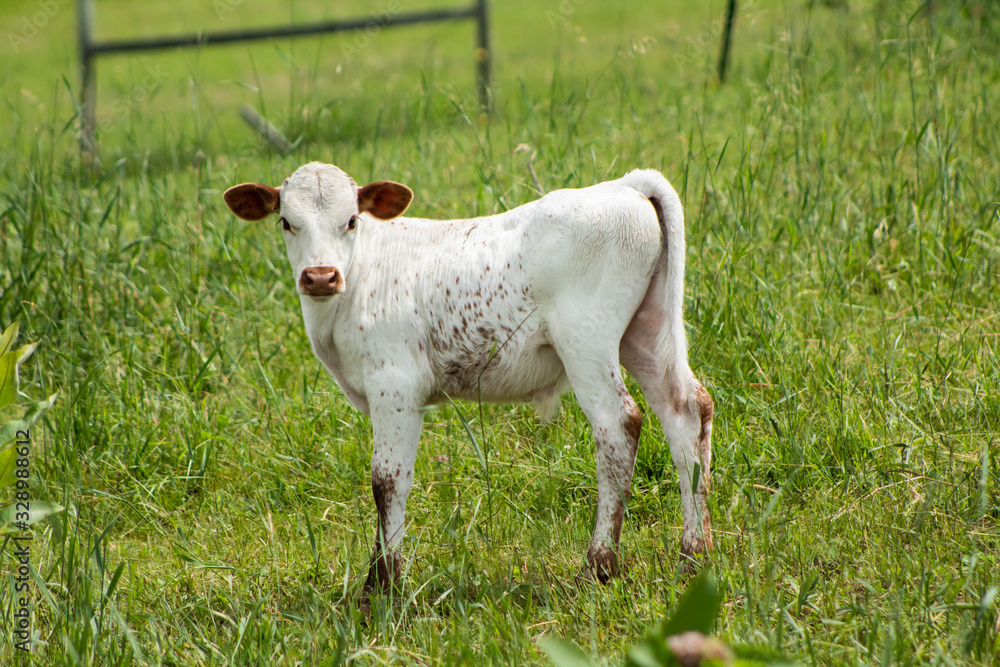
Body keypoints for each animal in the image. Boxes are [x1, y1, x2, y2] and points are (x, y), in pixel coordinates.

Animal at [225, 163, 712, 596]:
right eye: (286, 222)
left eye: (351, 220)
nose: (321, 277)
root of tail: (623, 185)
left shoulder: (394, 385)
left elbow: (388, 480)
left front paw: (381, 587)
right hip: (645, 331)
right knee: (687, 411)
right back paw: (694, 554)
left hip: (586, 339)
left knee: (618, 426)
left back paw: (599, 567)